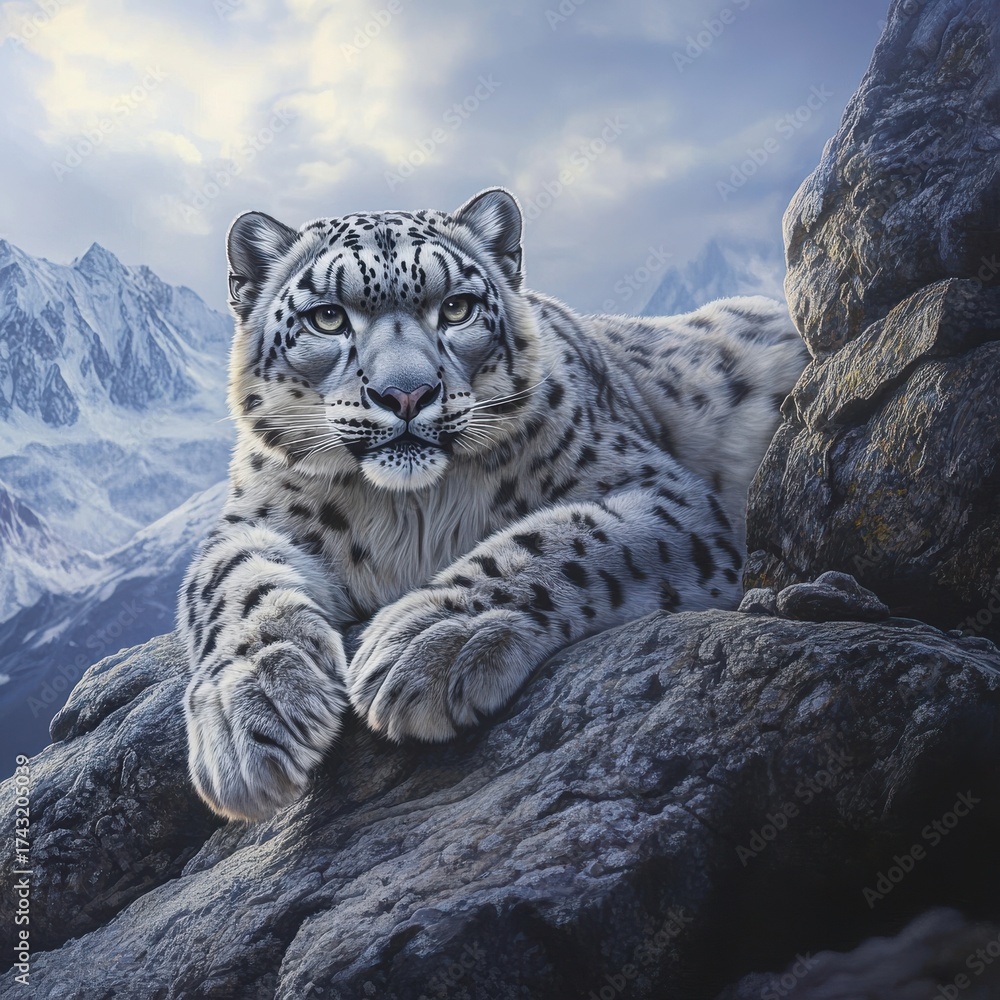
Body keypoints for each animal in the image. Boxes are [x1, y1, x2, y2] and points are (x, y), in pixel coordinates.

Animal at [178, 187, 807, 821]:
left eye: (456, 308)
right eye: (328, 317)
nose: (406, 394)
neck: (410, 512)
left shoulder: (668, 496)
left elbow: (561, 538)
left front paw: (429, 639)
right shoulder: (257, 518)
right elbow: (229, 582)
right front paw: (250, 714)